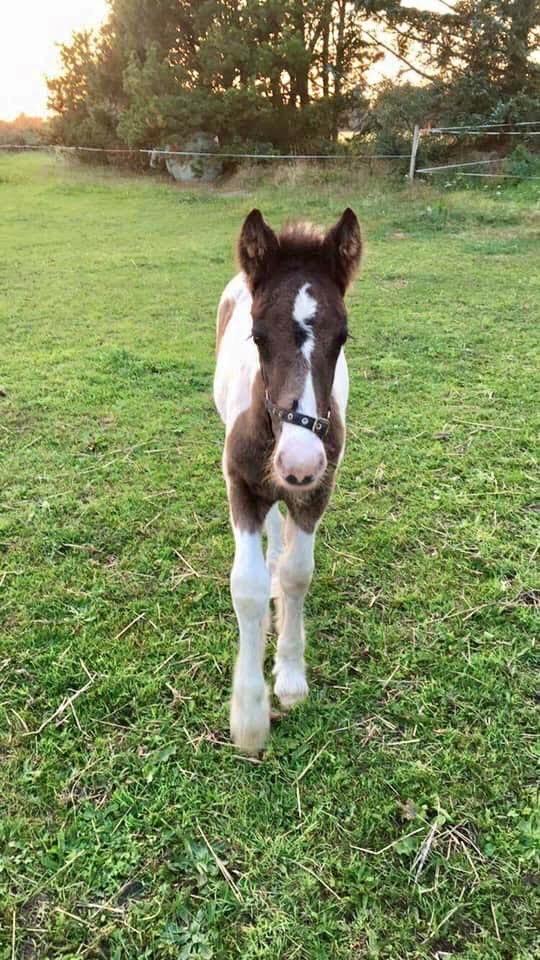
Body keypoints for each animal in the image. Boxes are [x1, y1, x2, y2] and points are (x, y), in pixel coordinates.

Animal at [213, 208, 360, 752]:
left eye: (343, 337)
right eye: (257, 336)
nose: (300, 460)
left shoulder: (317, 489)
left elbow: (298, 574)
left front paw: (291, 679)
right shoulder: (240, 484)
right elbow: (247, 585)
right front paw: (250, 716)